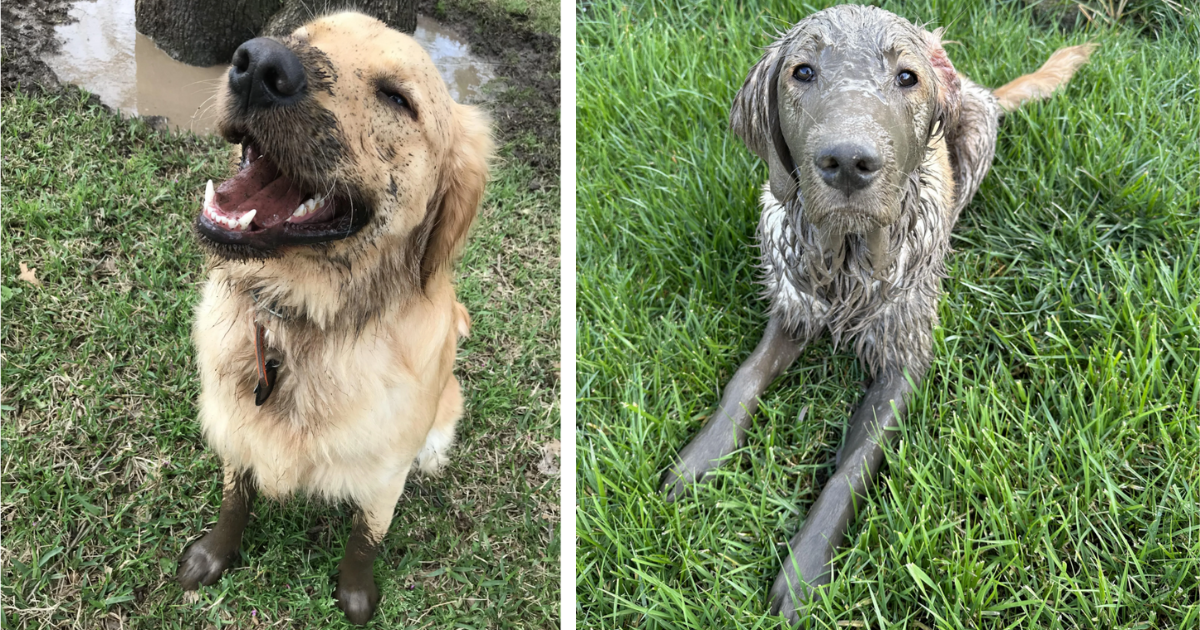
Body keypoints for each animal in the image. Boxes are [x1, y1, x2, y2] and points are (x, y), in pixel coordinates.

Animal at [175, 11, 492, 624]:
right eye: (302, 38)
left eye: (397, 98)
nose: (258, 64)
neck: (301, 322)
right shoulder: (235, 428)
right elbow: (234, 500)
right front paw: (213, 555)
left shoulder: (385, 475)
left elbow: (365, 539)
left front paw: (356, 596)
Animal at [662, 4, 1094, 619]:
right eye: (803, 71)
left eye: (907, 77)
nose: (847, 162)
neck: (846, 261)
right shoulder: (794, 308)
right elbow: (742, 380)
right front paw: (700, 459)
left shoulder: (904, 360)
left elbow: (852, 468)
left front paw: (803, 569)